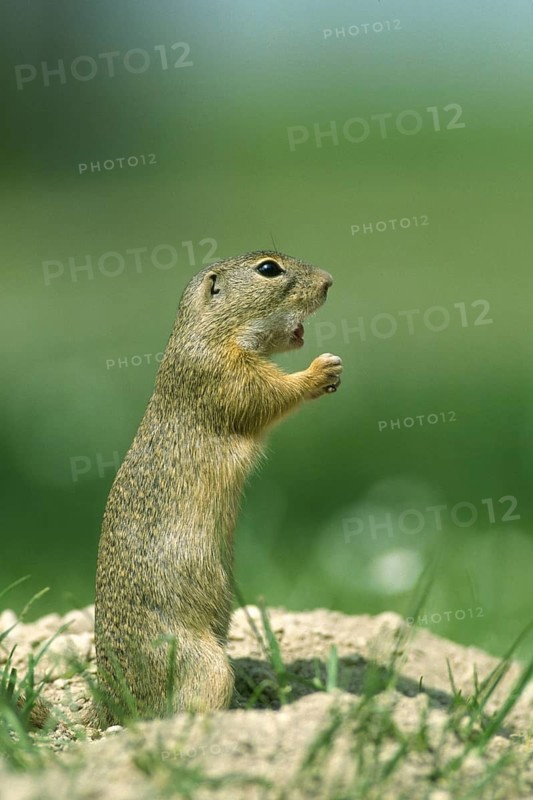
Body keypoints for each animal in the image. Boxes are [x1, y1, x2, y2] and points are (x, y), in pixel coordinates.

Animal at [94, 250, 342, 724]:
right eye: (268, 268)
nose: (328, 281)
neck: (210, 332)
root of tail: (108, 713)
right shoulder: (225, 373)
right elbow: (267, 395)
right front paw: (323, 370)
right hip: (205, 665)